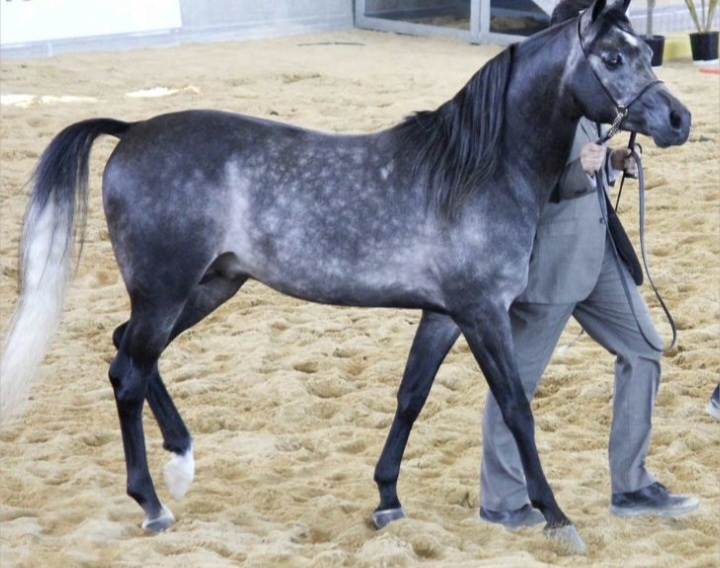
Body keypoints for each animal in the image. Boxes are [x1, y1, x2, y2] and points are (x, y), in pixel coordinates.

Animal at [0, 0, 689, 554]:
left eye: (645, 51)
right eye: (612, 56)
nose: (678, 119)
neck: (477, 170)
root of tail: (132, 129)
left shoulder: (443, 315)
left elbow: (411, 397)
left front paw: (387, 499)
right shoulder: (482, 313)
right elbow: (517, 409)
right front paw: (556, 516)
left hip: (208, 286)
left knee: (129, 353)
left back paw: (182, 461)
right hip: (167, 291)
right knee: (127, 373)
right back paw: (152, 503)